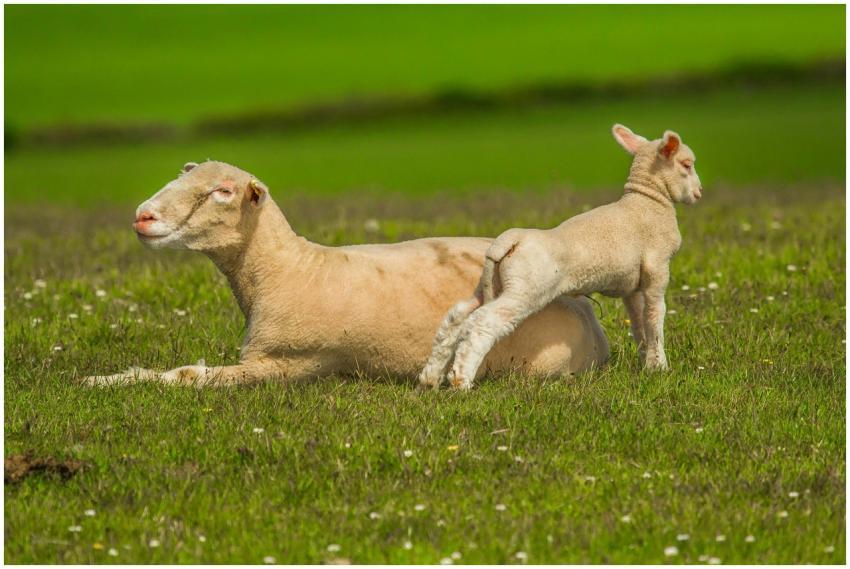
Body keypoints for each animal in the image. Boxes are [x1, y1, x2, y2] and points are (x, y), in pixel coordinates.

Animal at [83, 160, 610, 386]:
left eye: (223, 192)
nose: (143, 216)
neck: (289, 269)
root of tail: (591, 319)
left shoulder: (290, 363)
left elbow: (190, 376)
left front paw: (110, 382)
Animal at [420, 124, 702, 390]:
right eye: (687, 165)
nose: (699, 192)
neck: (648, 201)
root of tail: (509, 240)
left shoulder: (631, 286)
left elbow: (639, 323)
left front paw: (647, 363)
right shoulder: (657, 269)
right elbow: (655, 318)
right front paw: (660, 368)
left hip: (492, 284)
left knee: (458, 317)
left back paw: (430, 377)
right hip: (525, 289)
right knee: (482, 322)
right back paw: (461, 381)